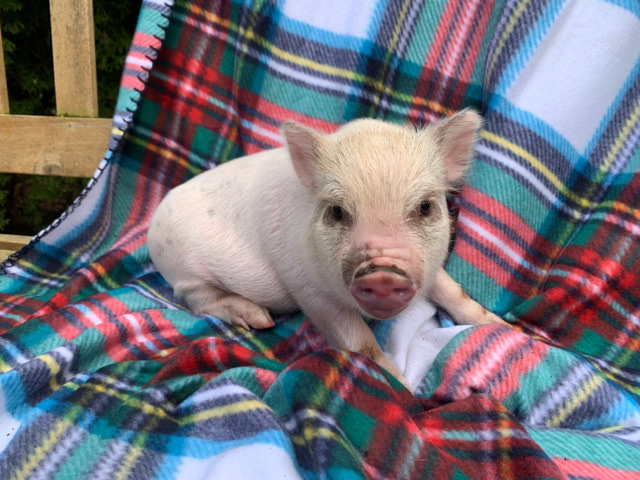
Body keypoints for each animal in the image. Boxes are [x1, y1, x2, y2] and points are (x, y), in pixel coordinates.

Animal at [147, 110, 506, 390]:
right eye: (336, 211)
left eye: (426, 206)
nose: (384, 273)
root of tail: (153, 225)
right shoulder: (307, 288)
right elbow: (359, 341)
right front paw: (405, 390)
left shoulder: (430, 267)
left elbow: (454, 292)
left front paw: (500, 326)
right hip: (186, 272)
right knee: (199, 301)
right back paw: (259, 320)